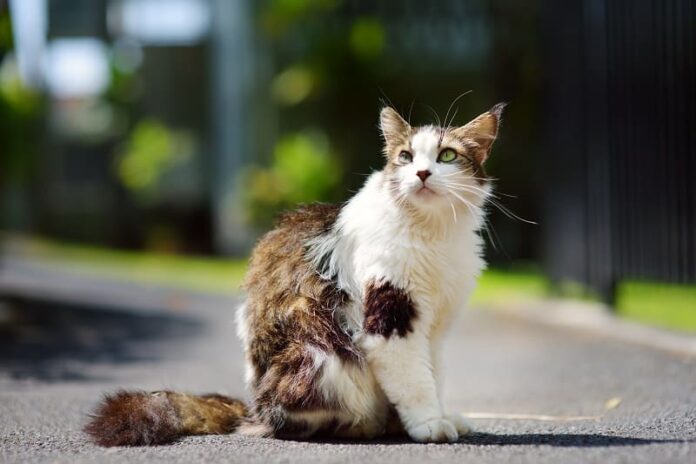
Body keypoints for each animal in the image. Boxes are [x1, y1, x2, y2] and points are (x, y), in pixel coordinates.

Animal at [85, 102, 506, 446]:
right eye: (405, 156)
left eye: (447, 155)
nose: (421, 173)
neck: (434, 231)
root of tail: (253, 407)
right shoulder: (390, 321)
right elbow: (415, 382)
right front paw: (428, 424)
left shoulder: (434, 328)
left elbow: (434, 375)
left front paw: (436, 415)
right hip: (323, 353)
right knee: (295, 422)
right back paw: (362, 425)